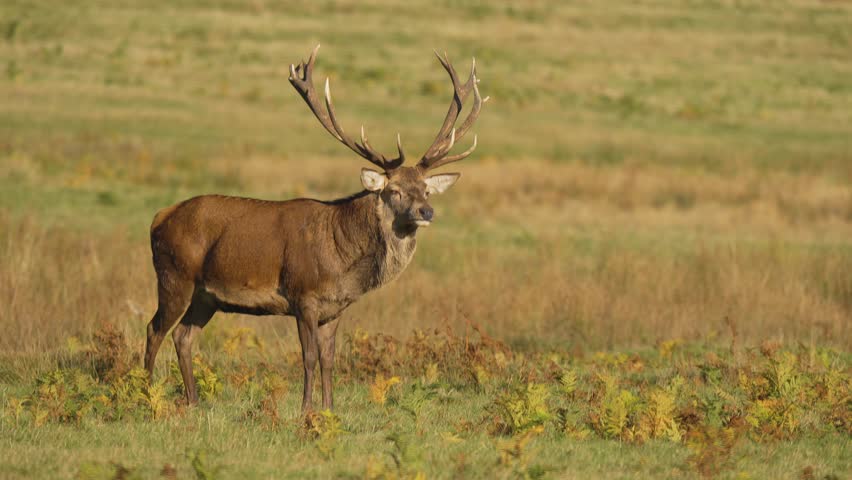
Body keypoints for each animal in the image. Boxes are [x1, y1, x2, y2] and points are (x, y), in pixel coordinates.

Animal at [143, 45, 487, 413]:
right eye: (394, 190)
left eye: (425, 190)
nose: (427, 211)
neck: (342, 260)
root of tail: (159, 218)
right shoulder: (302, 295)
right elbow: (307, 357)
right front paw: (306, 409)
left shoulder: (334, 309)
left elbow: (329, 359)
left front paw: (329, 407)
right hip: (174, 276)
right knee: (154, 329)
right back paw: (143, 392)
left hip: (206, 296)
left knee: (183, 336)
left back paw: (193, 400)